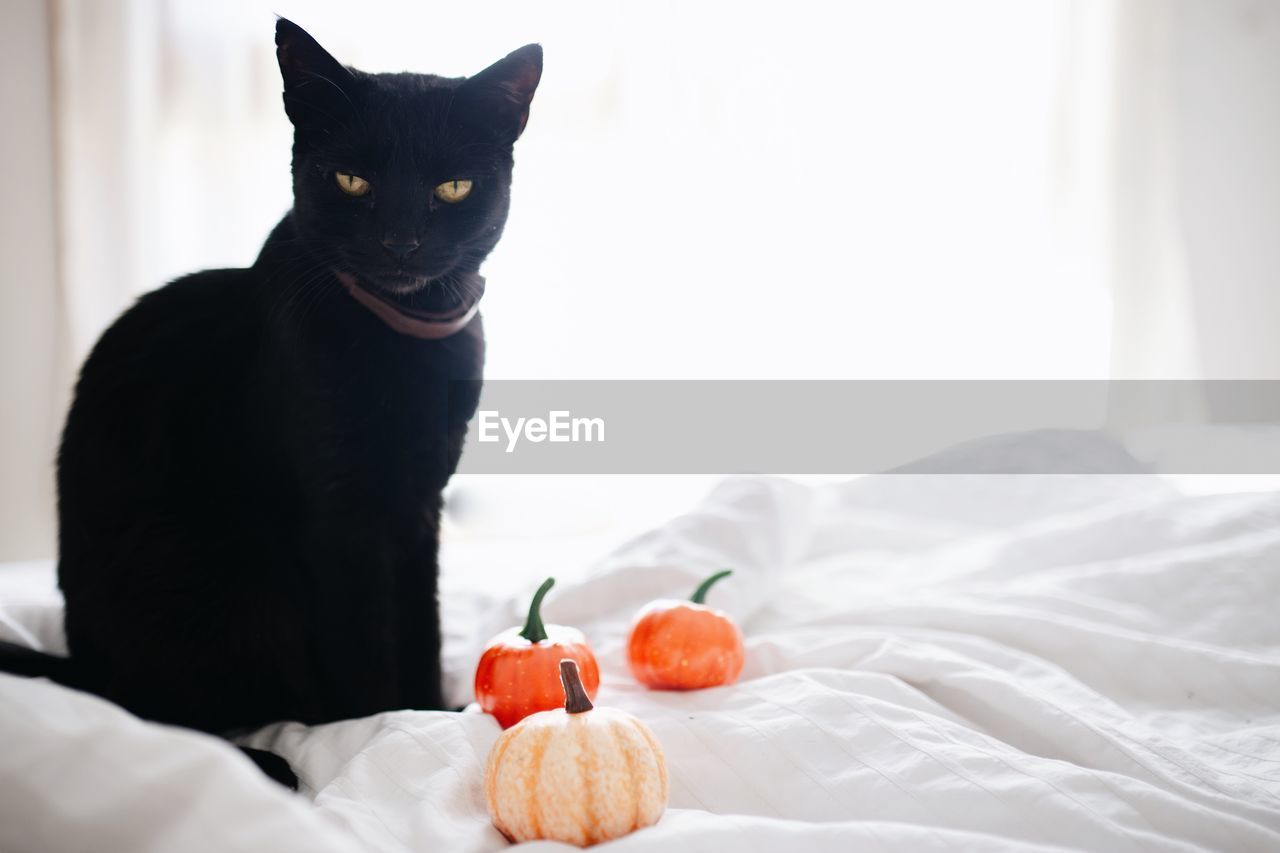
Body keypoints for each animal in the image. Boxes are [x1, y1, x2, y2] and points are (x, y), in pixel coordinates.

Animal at [0, 19, 537, 788]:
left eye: (453, 187)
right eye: (352, 180)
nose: (400, 241)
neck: (407, 337)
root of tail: (82, 657)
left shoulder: (417, 504)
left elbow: (422, 624)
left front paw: (431, 710)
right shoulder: (343, 517)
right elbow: (367, 641)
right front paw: (380, 733)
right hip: (218, 581)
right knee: (145, 713)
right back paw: (270, 762)